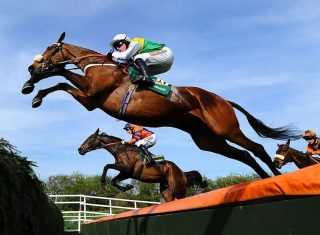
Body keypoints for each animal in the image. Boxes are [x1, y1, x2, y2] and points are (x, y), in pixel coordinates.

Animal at [22, 31, 300, 178]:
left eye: (49, 48)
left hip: (226, 128)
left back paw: (276, 177)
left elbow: (60, 77)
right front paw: (31, 86)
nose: (32, 66)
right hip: (208, 140)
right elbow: (59, 79)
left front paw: (35, 91)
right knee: (244, 154)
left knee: (257, 148)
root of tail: (221, 99)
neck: (99, 64)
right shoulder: (90, 97)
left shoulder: (91, 96)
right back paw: (262, 180)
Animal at [78, 129, 208, 202]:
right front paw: (127, 187)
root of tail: (182, 172)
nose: (80, 149)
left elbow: (106, 166)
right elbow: (113, 180)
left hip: (178, 188)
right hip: (166, 190)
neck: (121, 150)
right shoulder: (126, 173)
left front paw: (103, 183)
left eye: (90, 138)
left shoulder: (125, 168)